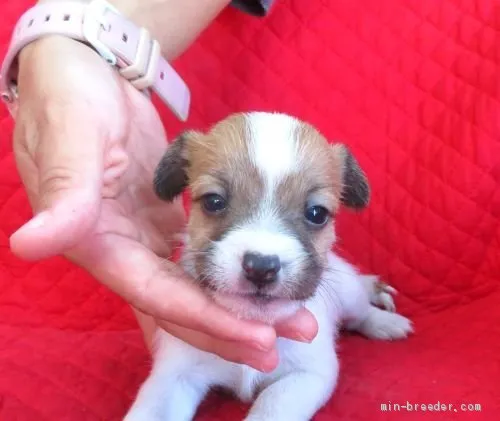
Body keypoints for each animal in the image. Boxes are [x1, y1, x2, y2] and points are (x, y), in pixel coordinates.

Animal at [123, 111, 412, 420]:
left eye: (317, 213)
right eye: (214, 201)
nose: (261, 267)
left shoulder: (307, 375)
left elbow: (271, 404)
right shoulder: (175, 376)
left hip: (348, 293)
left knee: (360, 311)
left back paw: (384, 320)